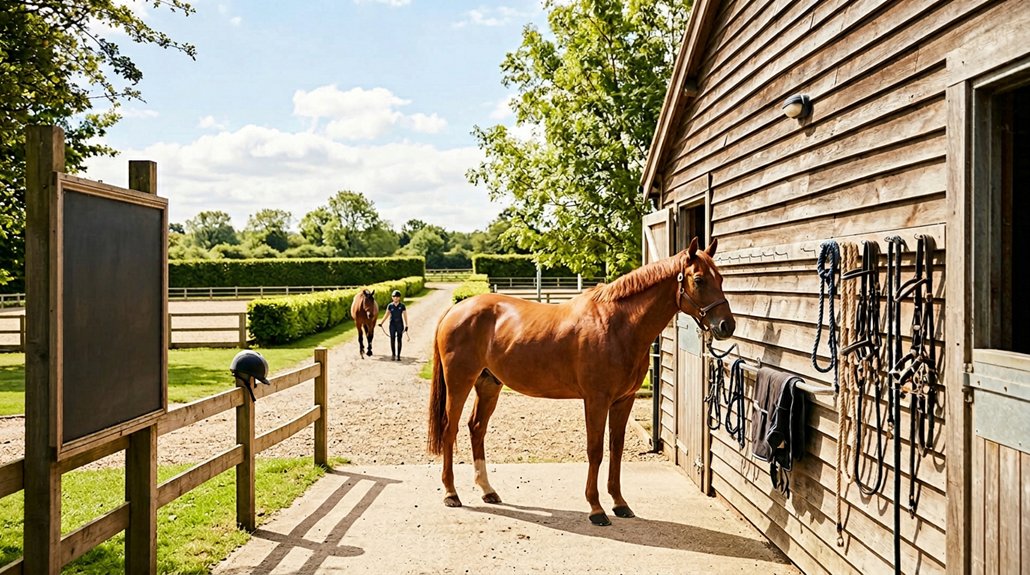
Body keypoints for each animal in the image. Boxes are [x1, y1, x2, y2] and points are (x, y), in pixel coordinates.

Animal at [427, 237, 735, 526]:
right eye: (699, 279)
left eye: (721, 279)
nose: (726, 326)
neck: (617, 325)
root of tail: (457, 309)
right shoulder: (596, 400)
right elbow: (595, 450)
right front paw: (596, 509)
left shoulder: (623, 401)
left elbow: (616, 449)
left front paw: (620, 503)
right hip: (459, 383)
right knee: (450, 428)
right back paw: (451, 493)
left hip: (489, 384)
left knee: (476, 428)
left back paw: (487, 490)